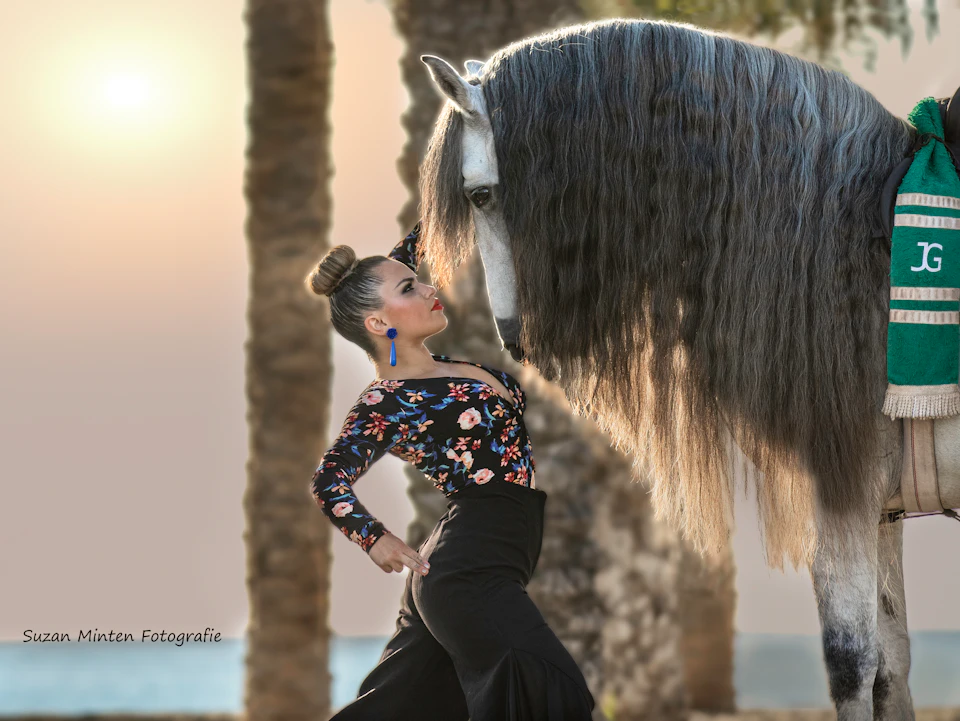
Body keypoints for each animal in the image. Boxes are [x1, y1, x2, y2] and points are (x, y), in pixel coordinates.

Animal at [412, 17, 959, 720]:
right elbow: (892, 668)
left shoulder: (843, 489)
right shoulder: (880, 507)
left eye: (480, 195)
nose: (514, 339)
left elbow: (852, 663)